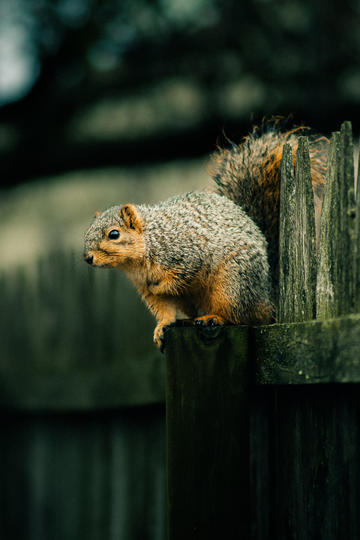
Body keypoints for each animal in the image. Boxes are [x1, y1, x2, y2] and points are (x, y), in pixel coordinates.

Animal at [83, 122, 328, 350]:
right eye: (86, 233)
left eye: (114, 234)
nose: (87, 258)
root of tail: (269, 294)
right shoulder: (146, 288)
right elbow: (164, 309)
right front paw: (162, 327)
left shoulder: (186, 253)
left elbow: (181, 276)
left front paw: (161, 286)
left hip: (233, 283)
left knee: (243, 316)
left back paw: (214, 317)